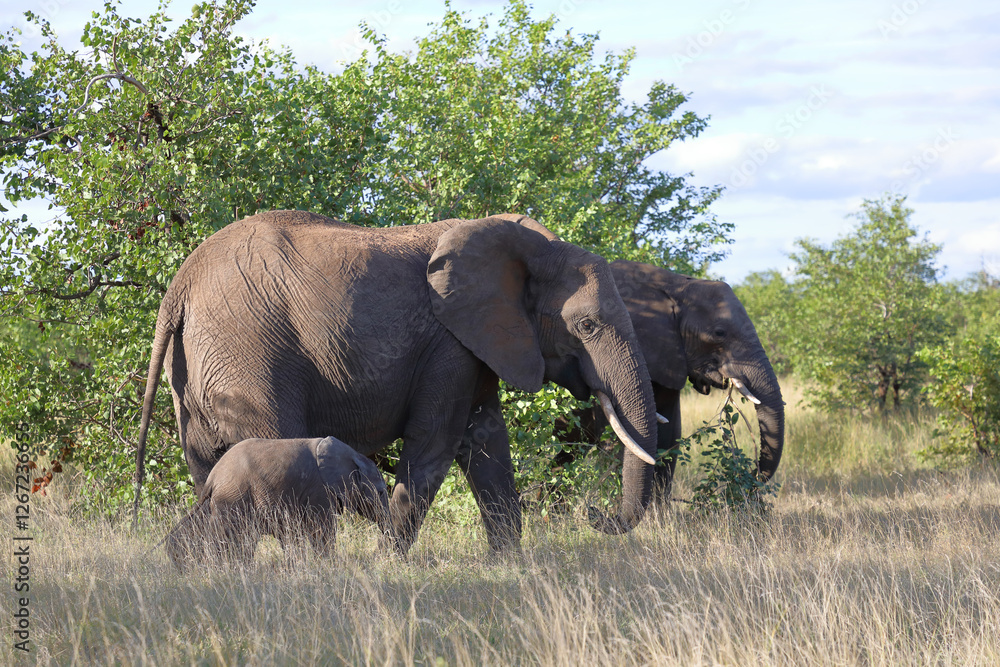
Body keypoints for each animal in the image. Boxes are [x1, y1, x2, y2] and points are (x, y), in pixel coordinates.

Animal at [135, 210, 659, 555]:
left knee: (205, 468)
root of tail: (179, 286)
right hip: (248, 352)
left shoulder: (475, 344)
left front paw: (508, 564)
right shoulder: (449, 343)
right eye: (587, 325)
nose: (593, 515)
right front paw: (386, 564)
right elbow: (437, 443)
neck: (528, 244)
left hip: (197, 371)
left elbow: (487, 440)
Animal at [165, 436, 391, 569]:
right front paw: (329, 565)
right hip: (234, 496)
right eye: (381, 492)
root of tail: (213, 476)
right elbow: (322, 529)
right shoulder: (320, 490)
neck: (352, 456)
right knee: (235, 536)